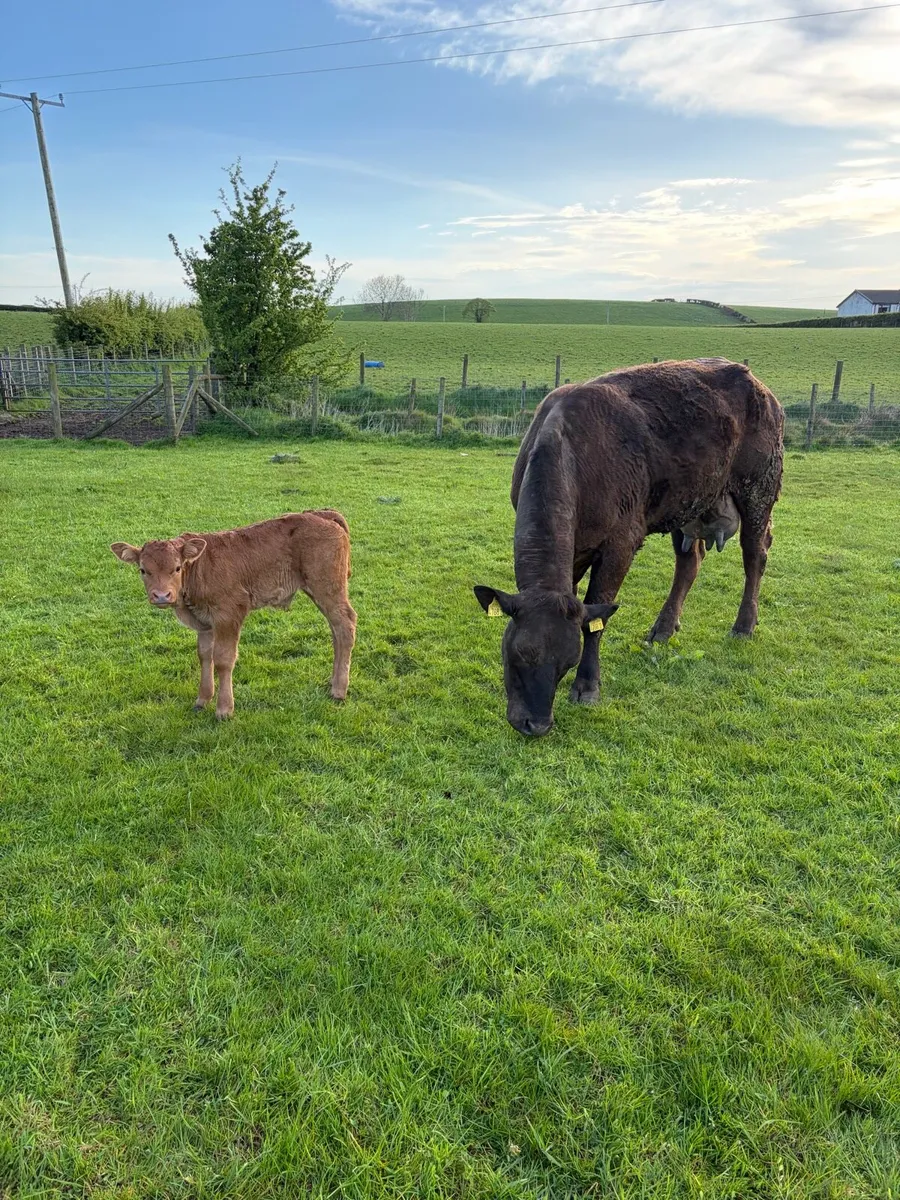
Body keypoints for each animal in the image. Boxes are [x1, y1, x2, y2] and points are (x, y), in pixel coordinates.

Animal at [111, 510, 356, 718]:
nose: (162, 596)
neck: (200, 569)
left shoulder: (229, 614)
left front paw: (224, 709)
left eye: (177, 568)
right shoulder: (205, 622)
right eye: (143, 570)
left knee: (345, 625)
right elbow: (204, 656)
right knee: (335, 630)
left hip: (327, 587)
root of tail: (321, 514)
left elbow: (223, 659)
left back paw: (338, 690)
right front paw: (202, 699)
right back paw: (333, 681)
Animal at [474, 359, 783, 736]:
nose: (537, 724)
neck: (571, 447)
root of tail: (759, 385)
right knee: (689, 562)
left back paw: (743, 625)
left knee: (755, 555)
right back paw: (663, 628)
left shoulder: (621, 543)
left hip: (759, 490)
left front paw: (587, 686)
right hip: (687, 504)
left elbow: (596, 615)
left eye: (567, 662)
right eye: (519, 654)